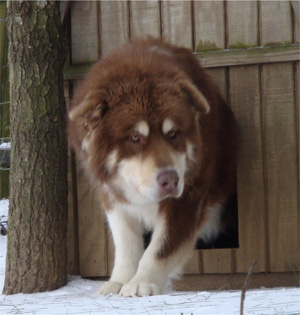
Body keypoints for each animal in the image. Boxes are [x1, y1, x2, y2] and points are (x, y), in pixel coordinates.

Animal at [67, 38, 237, 298]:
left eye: (173, 133)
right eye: (135, 138)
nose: (171, 180)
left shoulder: (186, 198)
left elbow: (159, 248)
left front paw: (142, 282)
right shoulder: (113, 195)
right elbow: (125, 243)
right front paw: (119, 280)